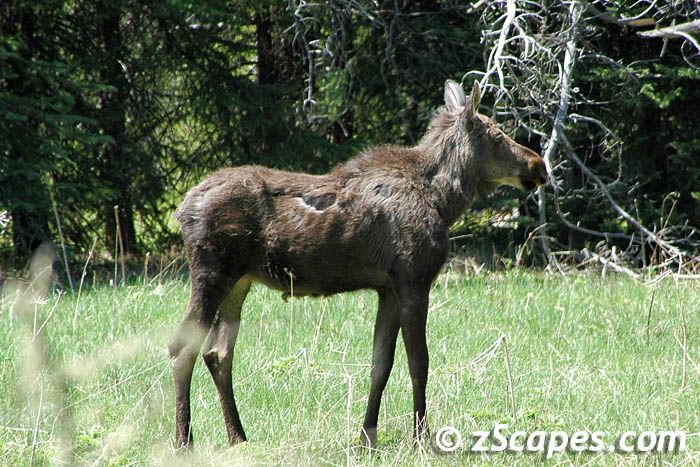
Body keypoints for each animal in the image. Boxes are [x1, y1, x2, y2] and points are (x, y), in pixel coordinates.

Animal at [168, 80, 548, 450]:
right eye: (497, 135)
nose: (538, 165)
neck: (445, 202)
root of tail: (182, 208)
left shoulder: (388, 289)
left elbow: (381, 364)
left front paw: (367, 436)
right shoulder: (414, 279)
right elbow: (419, 362)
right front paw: (422, 437)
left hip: (239, 281)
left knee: (218, 352)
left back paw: (237, 436)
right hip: (211, 272)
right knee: (182, 346)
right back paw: (184, 440)